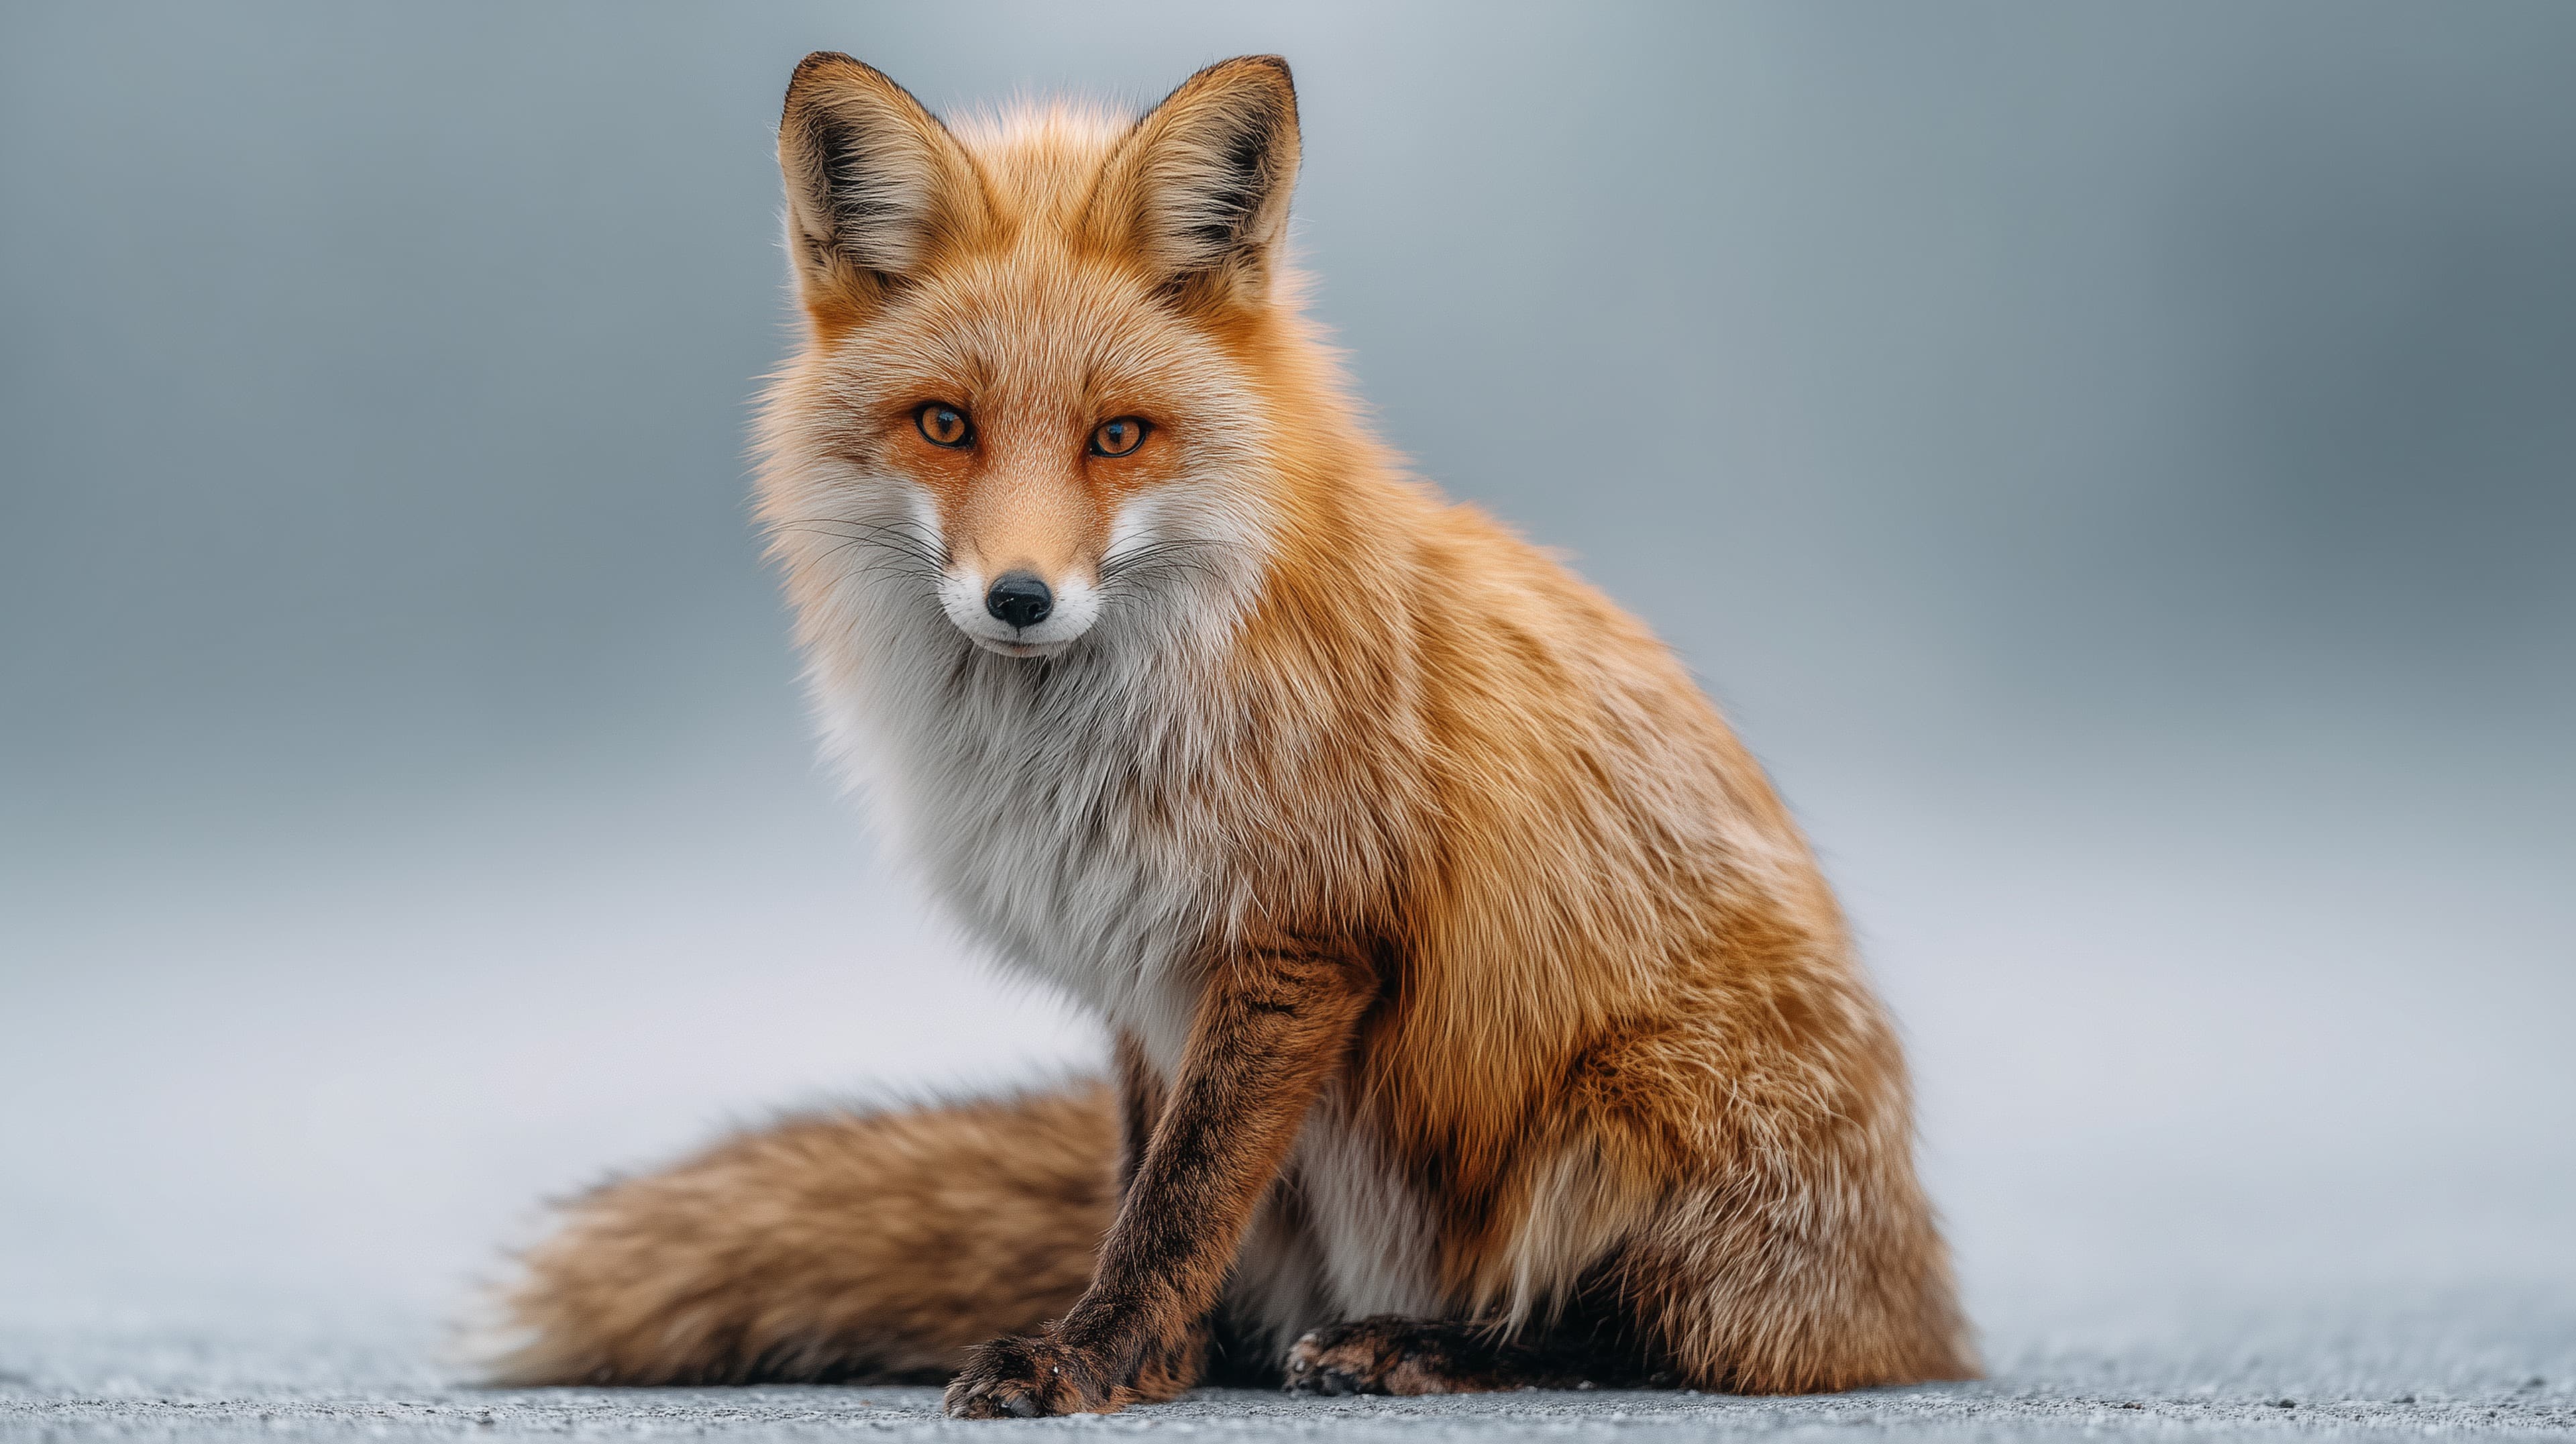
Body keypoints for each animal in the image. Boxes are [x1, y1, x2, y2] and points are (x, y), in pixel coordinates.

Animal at [490, 53, 1976, 1415]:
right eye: (945, 424)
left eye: (1119, 436)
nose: (1019, 597)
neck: (1088, 743)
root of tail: (1923, 1308)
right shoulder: (1141, 968)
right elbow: (1148, 1179)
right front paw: (1162, 1360)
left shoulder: (1300, 935)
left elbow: (1183, 1191)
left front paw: (1090, 1359)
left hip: (1616, 1113)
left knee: (1645, 1334)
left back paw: (1429, 1343)